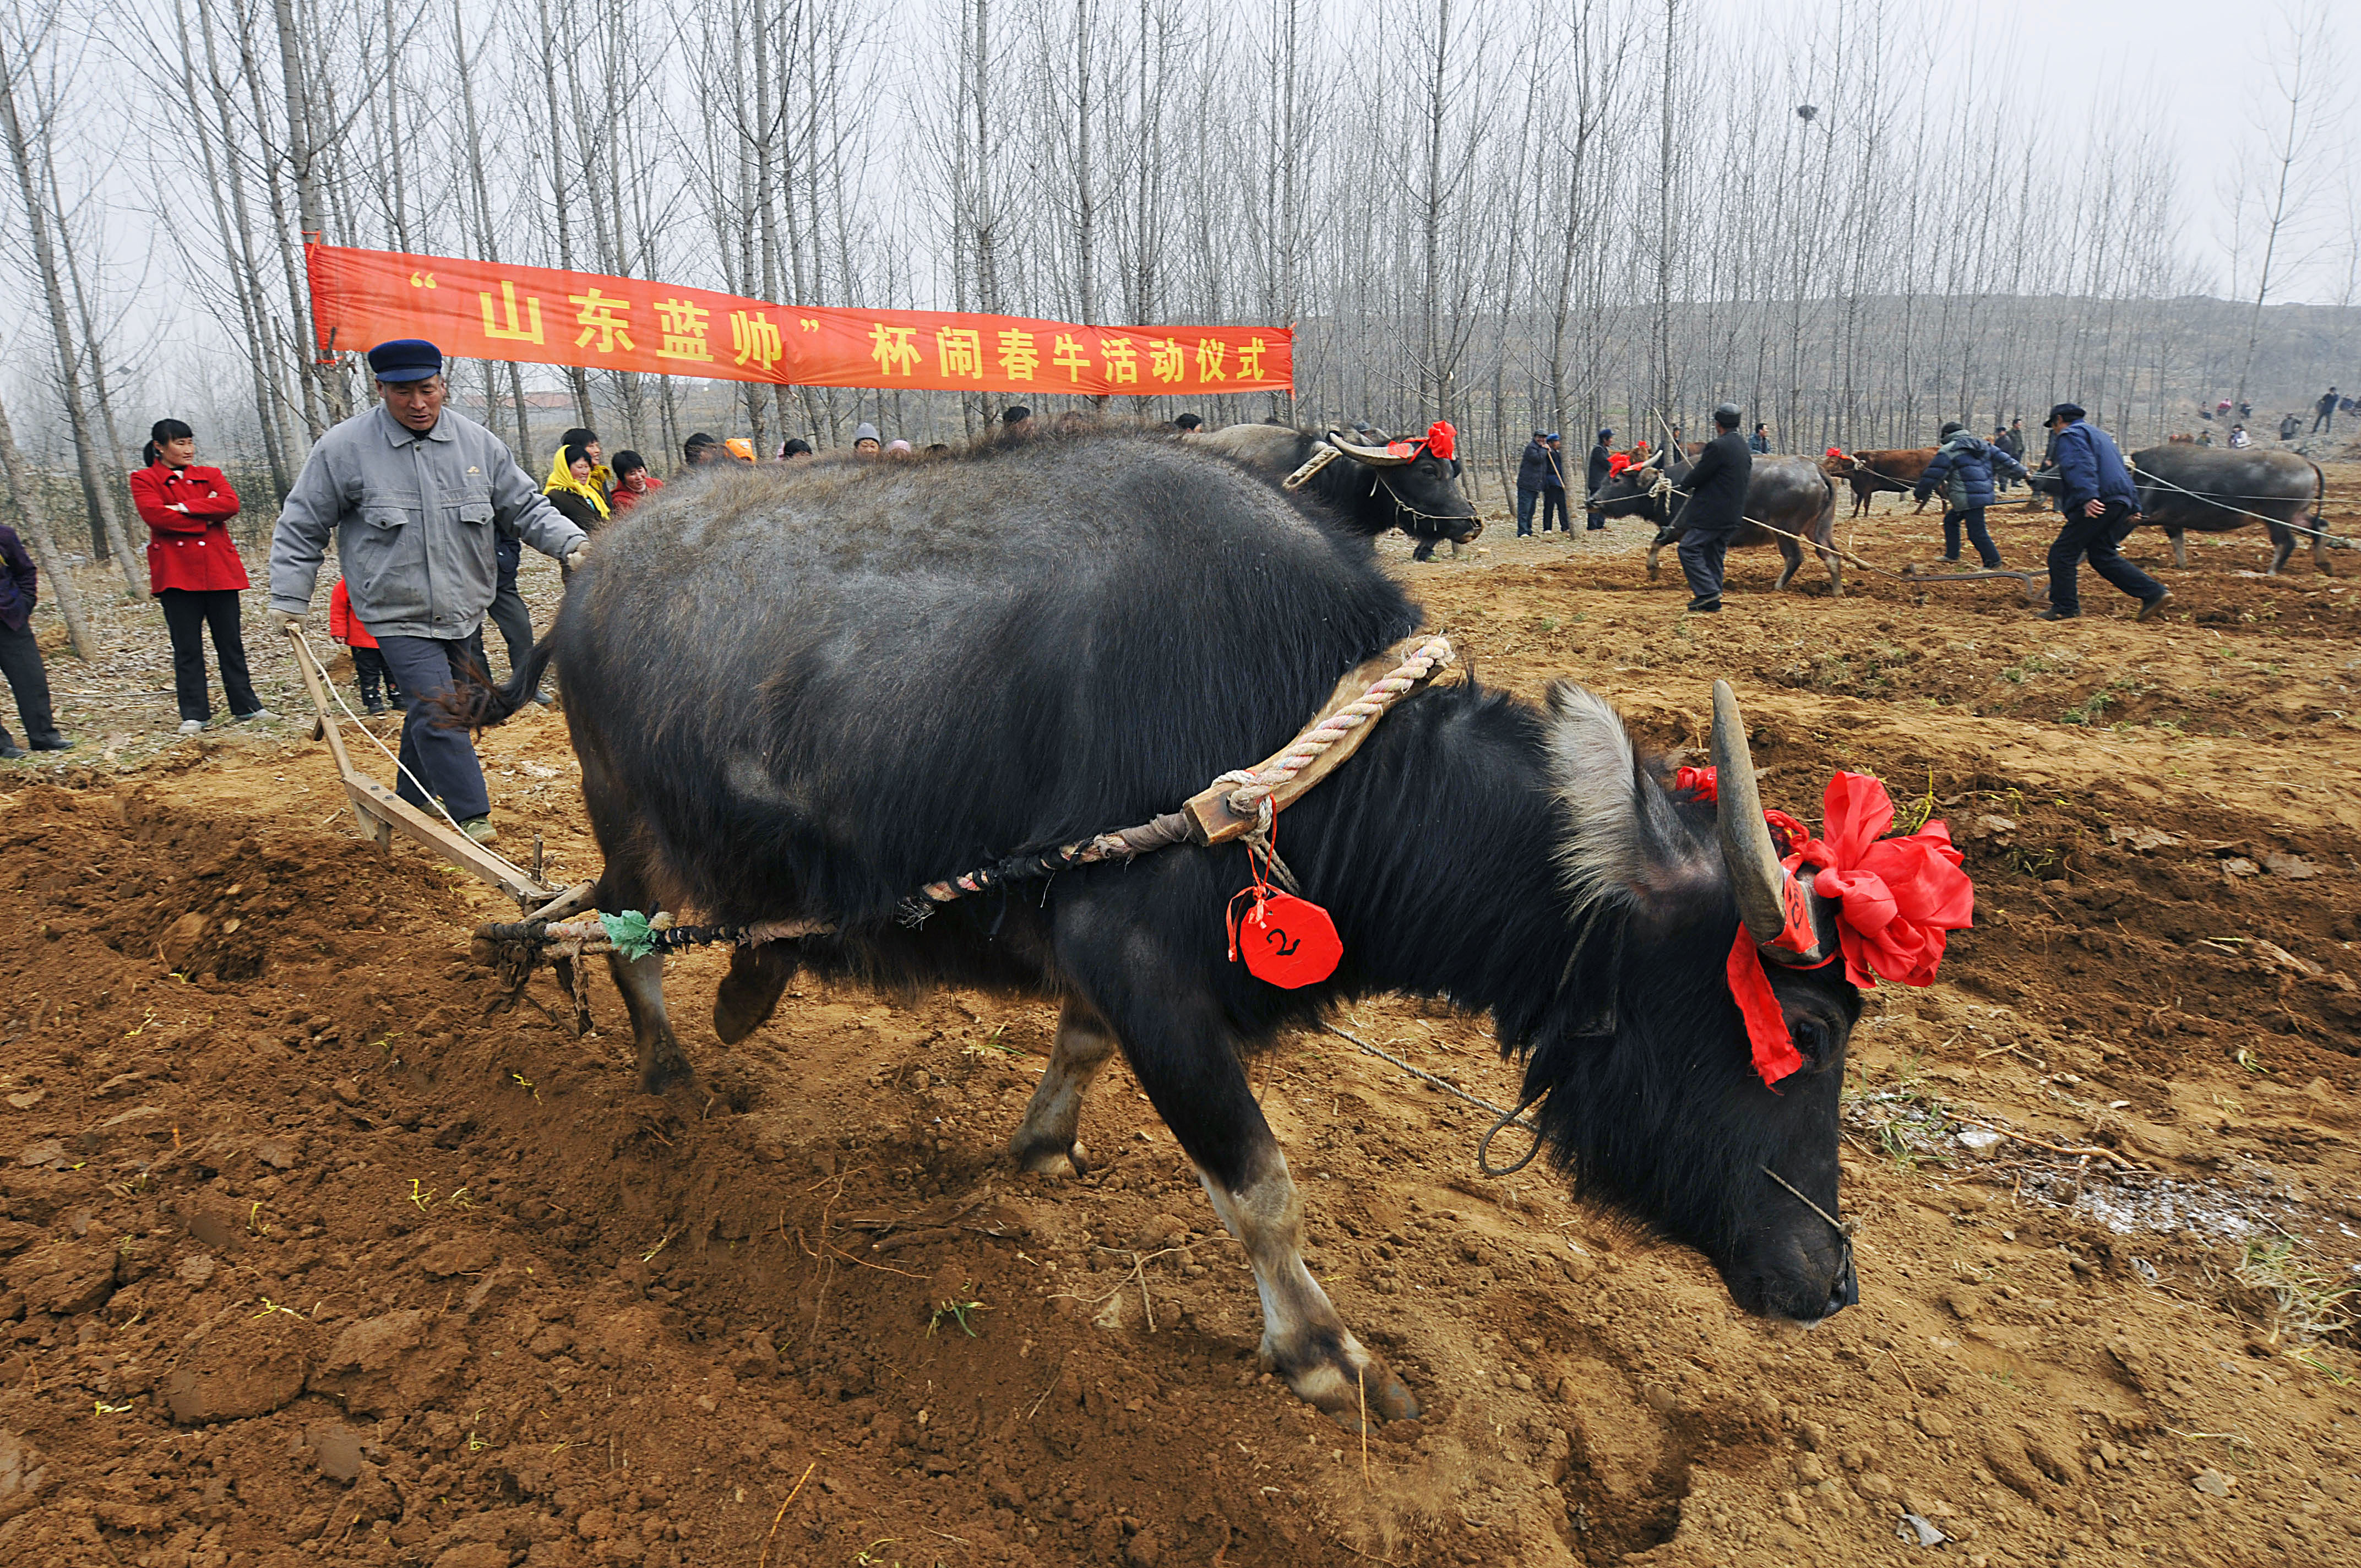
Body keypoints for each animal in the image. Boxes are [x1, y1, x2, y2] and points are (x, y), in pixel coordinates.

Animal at [1586, 455, 1841, 602]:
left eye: (1617, 480)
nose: (1592, 501)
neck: (1675, 488)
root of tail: (1817, 471)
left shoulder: (1682, 529)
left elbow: (1658, 541)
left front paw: (1654, 569)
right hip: (1819, 529)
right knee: (1832, 555)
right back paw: (1838, 590)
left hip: (1784, 530)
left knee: (1795, 557)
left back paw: (1777, 588)